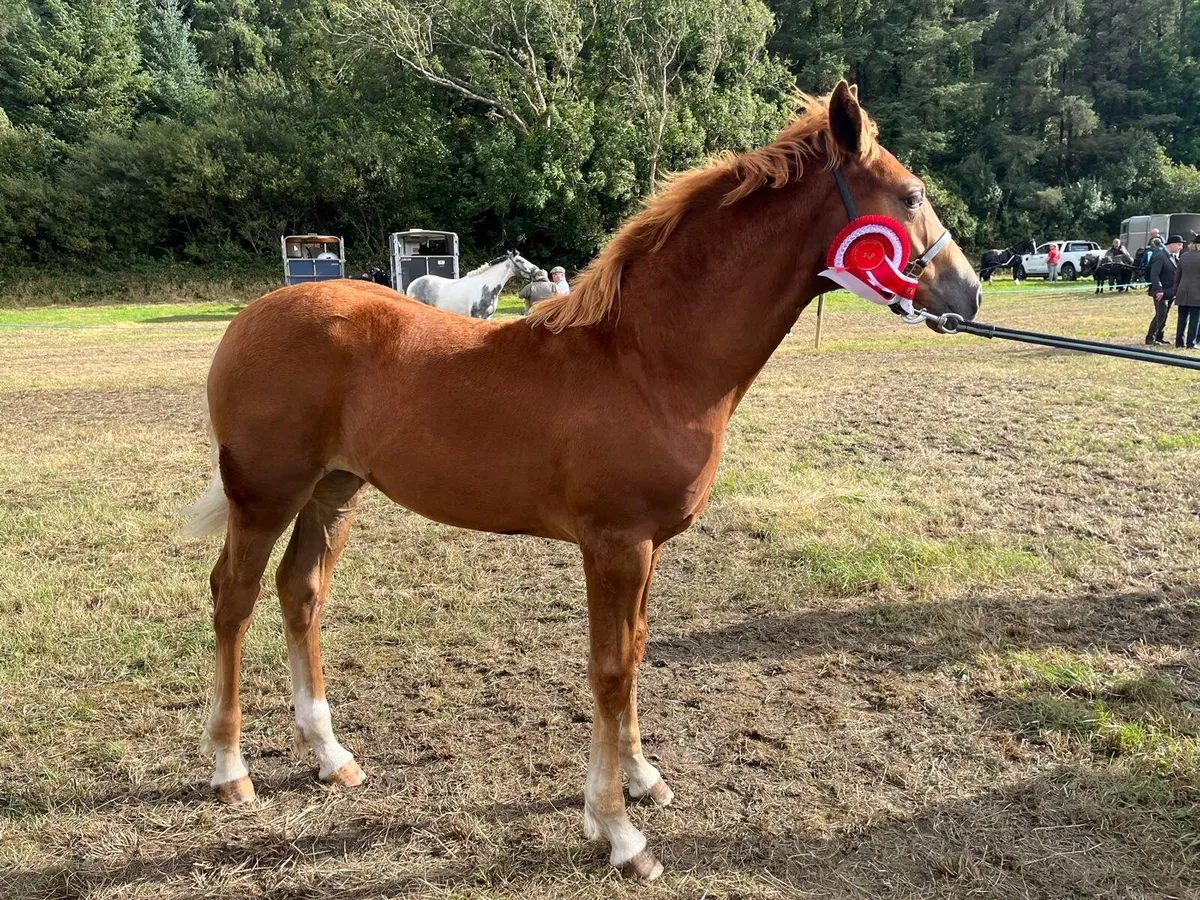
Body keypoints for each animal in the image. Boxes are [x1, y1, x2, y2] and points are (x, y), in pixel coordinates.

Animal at [406, 251, 537, 318]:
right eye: (520, 260)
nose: (537, 271)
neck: (486, 287)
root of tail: (412, 284)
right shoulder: (478, 316)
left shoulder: (488, 317)